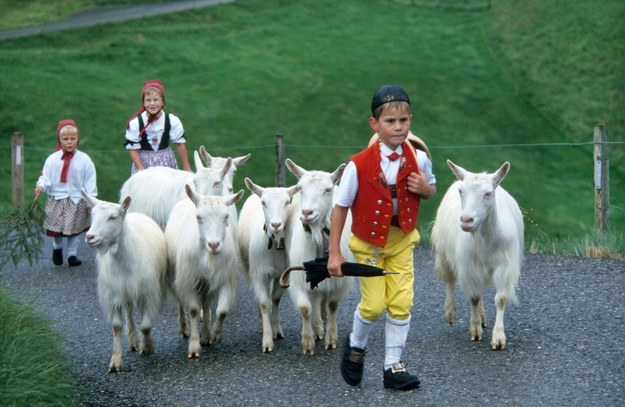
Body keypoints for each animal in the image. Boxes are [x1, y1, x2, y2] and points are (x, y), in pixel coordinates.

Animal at [81, 191, 167, 372]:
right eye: (92, 215)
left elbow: (146, 325)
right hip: (125, 291)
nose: (90, 237)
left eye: (113, 217)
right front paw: (115, 362)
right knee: (128, 311)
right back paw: (132, 340)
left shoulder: (149, 293)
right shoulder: (113, 295)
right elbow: (116, 326)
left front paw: (148, 346)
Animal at [165, 185, 243, 360]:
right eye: (199, 217)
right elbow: (194, 310)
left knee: (207, 304)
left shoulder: (224, 278)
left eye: (226, 216)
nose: (214, 245)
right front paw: (194, 346)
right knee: (180, 302)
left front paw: (214, 335)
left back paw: (206, 334)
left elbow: (221, 311)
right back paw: (184, 328)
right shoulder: (189, 279)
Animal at [236, 178, 300, 354]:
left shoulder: (282, 274)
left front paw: (275, 329)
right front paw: (267, 340)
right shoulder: (258, 273)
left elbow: (275, 298)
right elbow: (264, 302)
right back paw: (261, 326)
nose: (276, 225)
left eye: (287, 202)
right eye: (263, 203)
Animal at [282, 159, 352, 356]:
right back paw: (317, 327)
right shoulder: (299, 277)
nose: (307, 213)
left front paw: (331, 339)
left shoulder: (338, 280)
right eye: (300, 188)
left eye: (327, 189)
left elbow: (333, 304)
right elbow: (306, 308)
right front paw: (307, 342)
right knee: (315, 298)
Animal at [428, 159, 520, 350]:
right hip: (444, 253)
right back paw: (450, 313)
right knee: (449, 280)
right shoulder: (469, 266)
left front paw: (498, 337)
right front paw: (475, 329)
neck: (486, 241)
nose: (466, 220)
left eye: (488, 193)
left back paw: (484, 317)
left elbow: (500, 299)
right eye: (461, 191)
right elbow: (474, 297)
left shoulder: (505, 266)